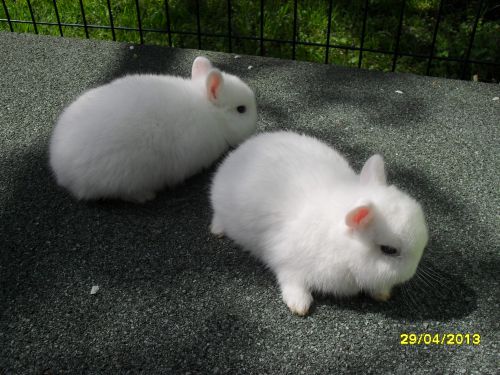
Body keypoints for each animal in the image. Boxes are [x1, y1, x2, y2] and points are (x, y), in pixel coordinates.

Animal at [211, 132, 430, 318]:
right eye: (388, 250)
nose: (413, 271)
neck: (340, 245)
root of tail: (243, 149)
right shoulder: (287, 262)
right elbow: (291, 282)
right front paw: (300, 305)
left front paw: (382, 294)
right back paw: (217, 230)